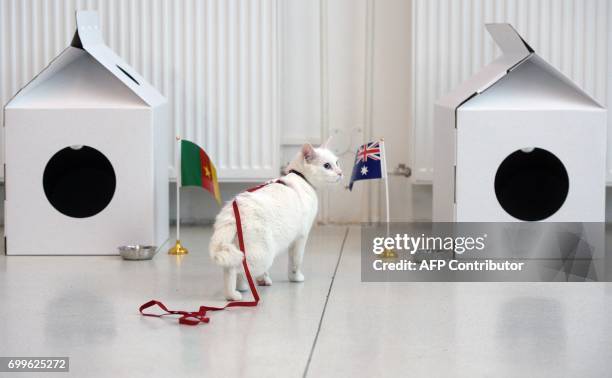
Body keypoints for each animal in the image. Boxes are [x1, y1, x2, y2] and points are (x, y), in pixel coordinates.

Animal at [210, 142, 344, 302]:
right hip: (263, 254)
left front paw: (263, 279)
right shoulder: (301, 237)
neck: (302, 179)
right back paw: (233, 294)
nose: (340, 173)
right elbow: (296, 261)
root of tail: (231, 211)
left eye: (337, 162)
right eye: (327, 166)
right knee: (233, 269)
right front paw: (295, 278)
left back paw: (243, 287)